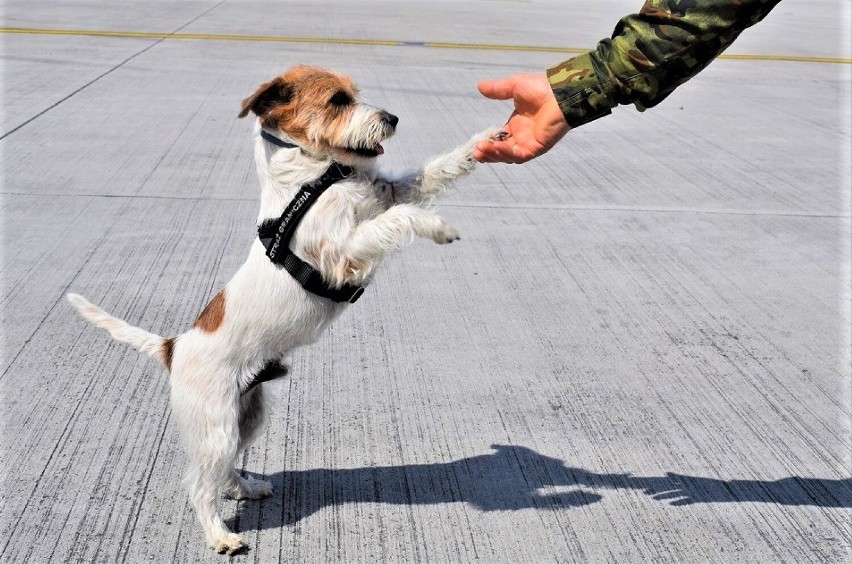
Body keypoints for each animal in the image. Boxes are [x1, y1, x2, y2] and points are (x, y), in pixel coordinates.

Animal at [71, 64, 500, 552]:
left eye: (356, 94)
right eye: (337, 101)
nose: (392, 118)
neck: (315, 177)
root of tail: (174, 346)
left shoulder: (386, 191)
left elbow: (433, 171)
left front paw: (489, 138)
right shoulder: (342, 254)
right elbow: (401, 216)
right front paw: (438, 226)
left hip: (250, 415)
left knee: (225, 470)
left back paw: (245, 487)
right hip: (217, 426)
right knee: (199, 484)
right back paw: (220, 536)